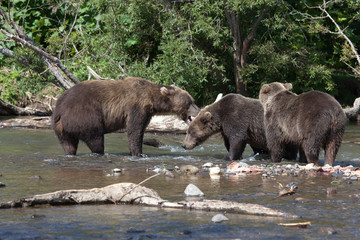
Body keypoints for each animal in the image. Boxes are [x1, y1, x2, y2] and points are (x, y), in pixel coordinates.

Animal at [52, 76, 200, 156]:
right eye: (189, 102)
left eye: (192, 100)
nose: (198, 110)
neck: (152, 100)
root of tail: (60, 109)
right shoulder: (136, 106)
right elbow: (135, 130)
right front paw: (137, 153)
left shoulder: (147, 113)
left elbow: (140, 130)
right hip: (86, 116)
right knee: (96, 138)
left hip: (61, 128)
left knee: (68, 144)